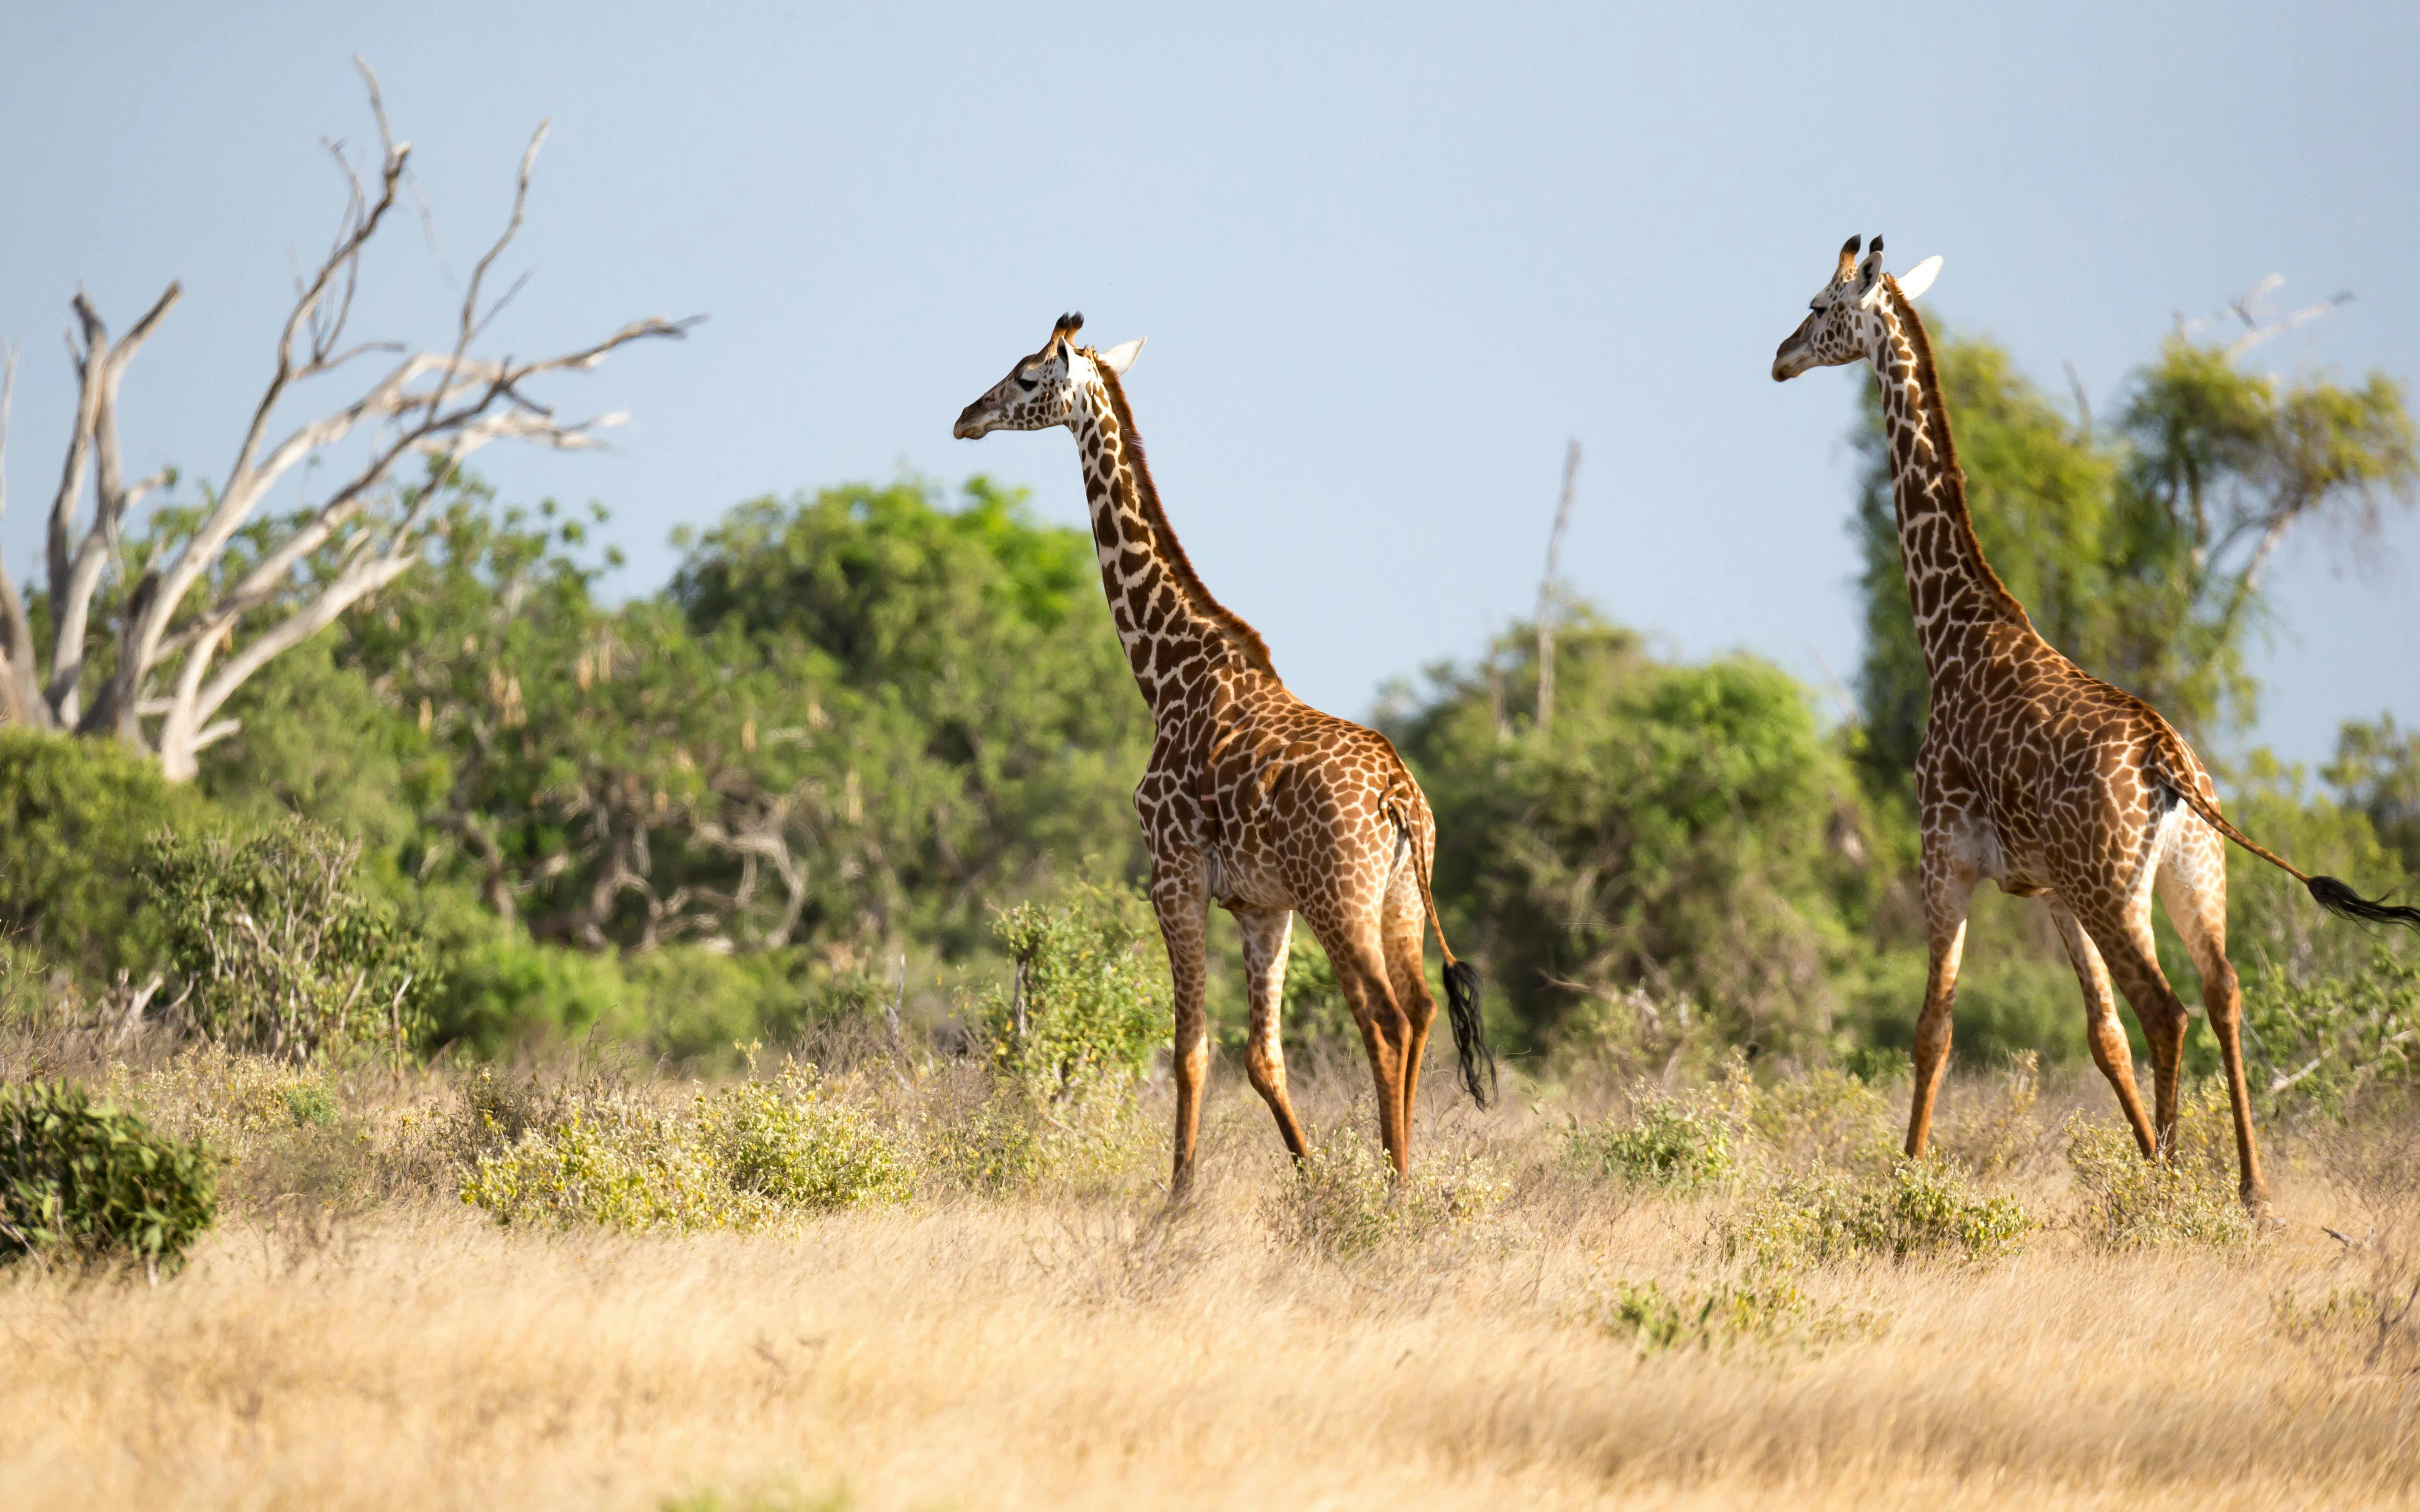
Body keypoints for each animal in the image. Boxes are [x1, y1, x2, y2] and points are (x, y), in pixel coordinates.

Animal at [953, 313, 1494, 1198]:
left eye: (1029, 376)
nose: (966, 417)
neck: (1167, 673)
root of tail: (1397, 797)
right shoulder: (1260, 906)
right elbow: (1260, 1059)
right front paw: (1308, 1182)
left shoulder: (1171, 877)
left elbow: (1189, 1050)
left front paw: (1177, 1199)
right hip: (1399, 900)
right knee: (1418, 1010)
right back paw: (1399, 1177)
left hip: (1338, 899)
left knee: (1381, 1017)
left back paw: (1392, 1186)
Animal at [1772, 235, 2420, 1209]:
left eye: (1818, 306)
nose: (1777, 357)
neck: (1949, 629)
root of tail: (2169, 769)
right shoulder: (2048, 889)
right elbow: (2097, 1036)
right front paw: (2145, 1152)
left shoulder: (1940, 856)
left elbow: (1932, 1028)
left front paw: (1906, 1180)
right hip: (2186, 879)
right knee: (2221, 992)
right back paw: (2246, 1189)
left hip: (2117, 890)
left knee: (2167, 1008)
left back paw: (2177, 1188)